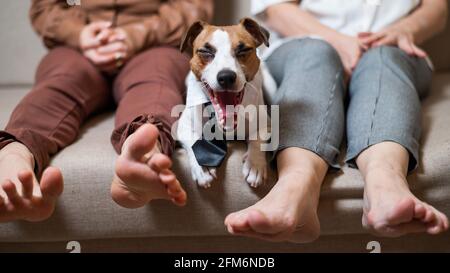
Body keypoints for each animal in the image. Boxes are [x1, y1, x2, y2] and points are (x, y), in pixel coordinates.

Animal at [177, 18, 274, 188]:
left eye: (243, 50)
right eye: (206, 52)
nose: (226, 76)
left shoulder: (266, 124)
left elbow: (257, 139)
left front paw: (254, 163)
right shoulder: (182, 125)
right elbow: (193, 138)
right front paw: (202, 166)